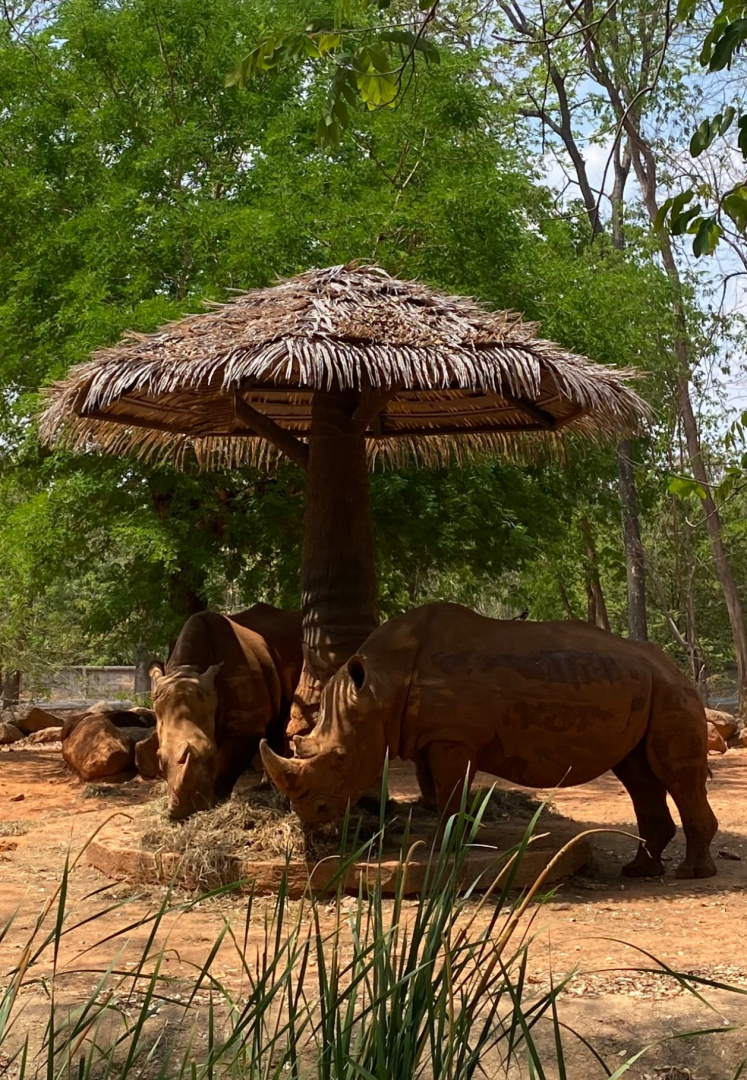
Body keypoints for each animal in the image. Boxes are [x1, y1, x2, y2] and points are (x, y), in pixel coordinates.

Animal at [150, 603, 302, 820]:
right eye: (159, 760)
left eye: (210, 754)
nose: (182, 812)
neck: (188, 670)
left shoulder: (244, 727)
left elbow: (227, 764)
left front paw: (214, 800)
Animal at [261, 602, 718, 879]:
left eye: (340, 757)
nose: (311, 815)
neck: (379, 687)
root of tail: (673, 666)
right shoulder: (428, 736)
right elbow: (435, 789)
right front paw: (449, 839)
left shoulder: (452, 738)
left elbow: (449, 789)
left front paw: (448, 845)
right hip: (647, 687)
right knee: (639, 775)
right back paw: (639, 871)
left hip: (673, 692)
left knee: (674, 775)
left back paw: (691, 874)